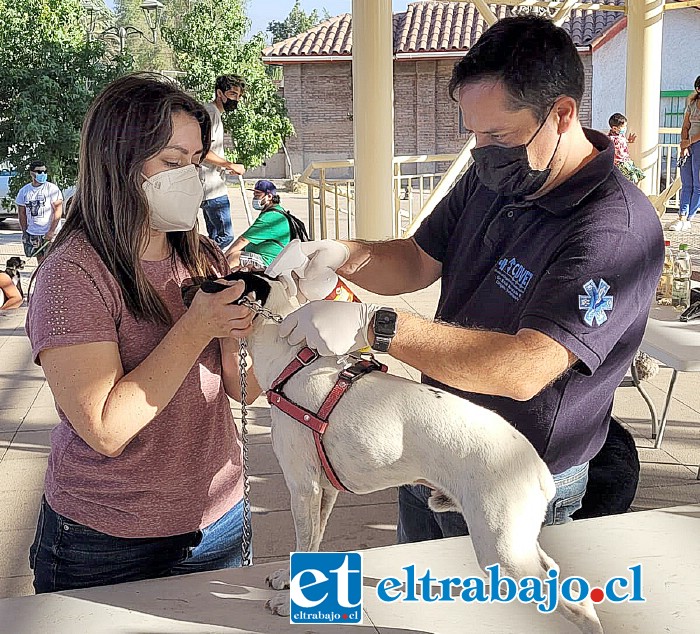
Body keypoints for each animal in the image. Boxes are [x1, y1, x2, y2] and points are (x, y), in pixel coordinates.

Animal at [242, 274, 600, 628]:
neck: (291, 362)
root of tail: (536, 466)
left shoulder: (304, 488)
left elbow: (304, 539)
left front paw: (289, 603)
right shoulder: (325, 491)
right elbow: (313, 542)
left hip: (501, 547)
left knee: (579, 605)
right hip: (518, 538)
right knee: (555, 572)